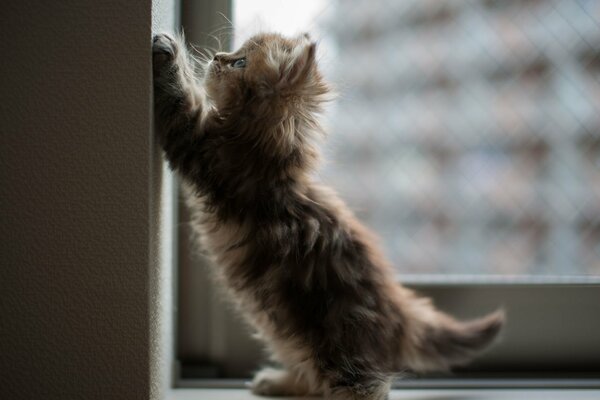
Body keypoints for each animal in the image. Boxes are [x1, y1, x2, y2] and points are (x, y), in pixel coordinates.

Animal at [152, 32, 504, 400]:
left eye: (240, 62)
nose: (217, 57)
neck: (265, 150)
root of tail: (399, 310)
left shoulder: (201, 148)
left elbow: (179, 98)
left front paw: (166, 51)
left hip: (340, 346)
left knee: (365, 387)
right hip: (286, 332)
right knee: (311, 377)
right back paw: (276, 382)